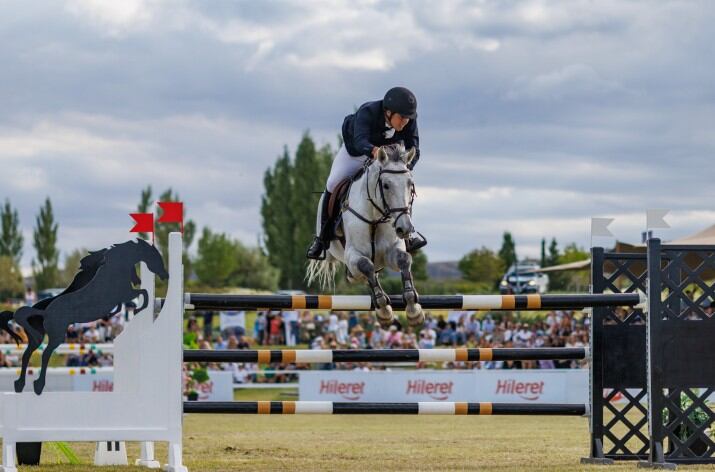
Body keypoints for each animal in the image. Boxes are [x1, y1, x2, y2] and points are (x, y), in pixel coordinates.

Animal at [0, 240, 168, 394]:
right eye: (155, 256)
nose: (166, 275)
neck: (114, 270)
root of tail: (45, 312)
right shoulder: (126, 294)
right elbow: (144, 293)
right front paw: (138, 309)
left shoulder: (122, 297)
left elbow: (129, 302)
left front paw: (118, 313)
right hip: (57, 336)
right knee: (45, 354)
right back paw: (38, 385)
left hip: (39, 337)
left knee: (26, 354)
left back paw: (20, 385)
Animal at [308, 144, 426, 328]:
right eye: (386, 185)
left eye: (410, 185)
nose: (405, 228)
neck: (375, 217)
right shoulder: (353, 254)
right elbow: (366, 265)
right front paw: (384, 310)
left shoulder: (391, 251)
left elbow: (404, 260)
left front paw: (414, 309)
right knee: (362, 273)